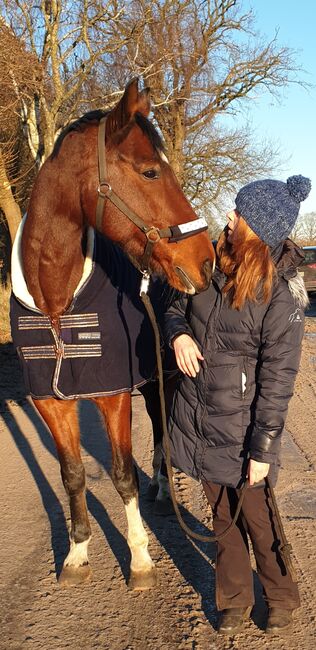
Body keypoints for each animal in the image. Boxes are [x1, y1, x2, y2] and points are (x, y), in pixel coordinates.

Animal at [12, 79, 215, 588]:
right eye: (150, 172)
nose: (205, 262)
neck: (55, 302)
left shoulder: (113, 395)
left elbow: (123, 474)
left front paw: (140, 559)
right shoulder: (49, 401)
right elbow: (71, 474)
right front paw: (77, 553)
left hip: (167, 374)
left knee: (162, 430)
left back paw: (162, 487)